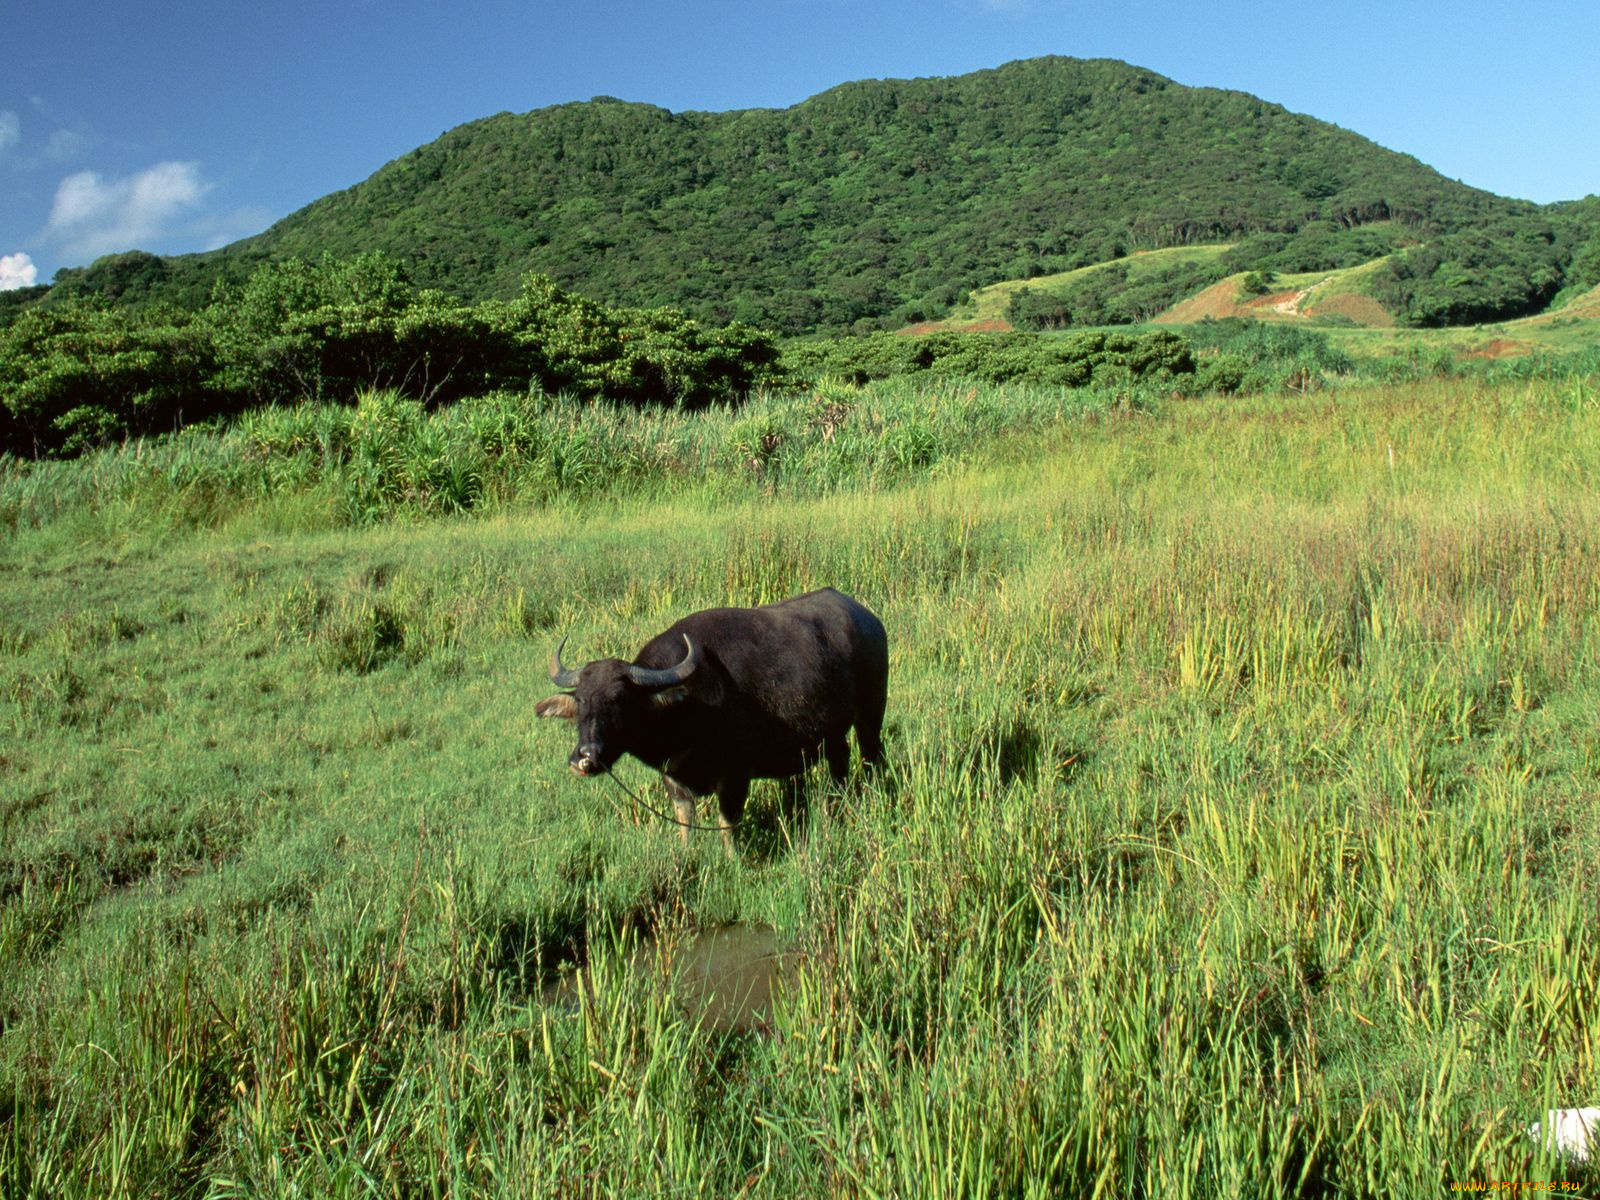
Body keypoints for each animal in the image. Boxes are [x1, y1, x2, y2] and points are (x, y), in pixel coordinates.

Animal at [534, 588, 889, 857]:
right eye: (581, 700)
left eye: (620, 699)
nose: (586, 758)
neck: (686, 711)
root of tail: (868, 620)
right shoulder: (674, 778)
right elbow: (685, 820)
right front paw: (685, 855)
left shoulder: (735, 775)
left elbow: (726, 823)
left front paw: (733, 861)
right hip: (833, 734)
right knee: (840, 762)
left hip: (871, 715)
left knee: (872, 757)